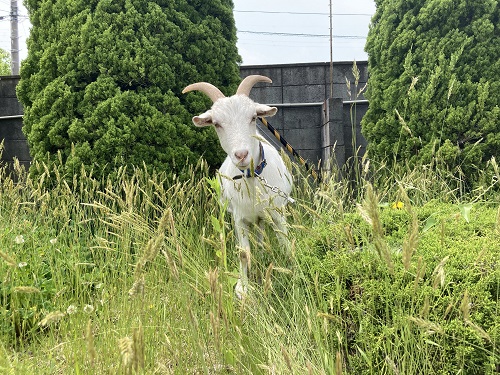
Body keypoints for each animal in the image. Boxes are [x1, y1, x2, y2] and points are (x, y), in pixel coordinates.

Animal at [184, 75, 292, 300]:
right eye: (217, 124)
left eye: (253, 117)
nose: (241, 155)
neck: (252, 179)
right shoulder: (239, 217)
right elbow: (243, 254)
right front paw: (243, 288)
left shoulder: (277, 212)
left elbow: (285, 244)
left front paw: (293, 272)